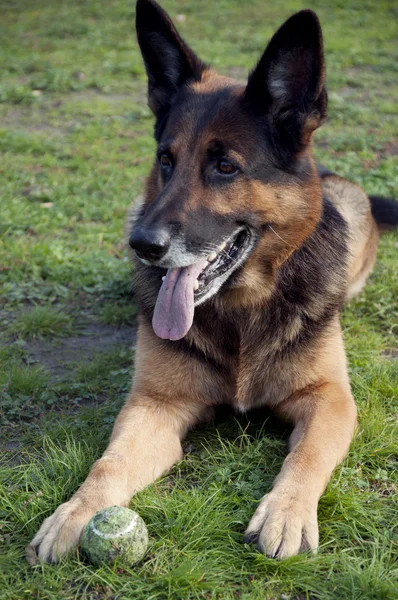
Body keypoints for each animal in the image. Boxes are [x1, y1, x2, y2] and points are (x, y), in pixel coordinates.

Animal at [30, 0, 398, 564]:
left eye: (225, 166)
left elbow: (307, 455)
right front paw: (75, 513)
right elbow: (108, 463)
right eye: (165, 159)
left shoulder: (331, 399)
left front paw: (286, 512)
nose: (143, 245)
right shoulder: (154, 406)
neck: (240, 309)